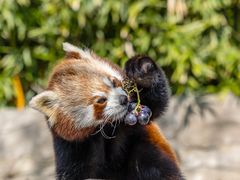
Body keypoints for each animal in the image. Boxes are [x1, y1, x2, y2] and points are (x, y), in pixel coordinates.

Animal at [29, 43, 184, 179]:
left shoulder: (132, 127)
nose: (123, 99)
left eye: (114, 82)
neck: (105, 129)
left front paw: (141, 68)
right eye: (101, 100)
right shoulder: (72, 148)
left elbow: (155, 103)